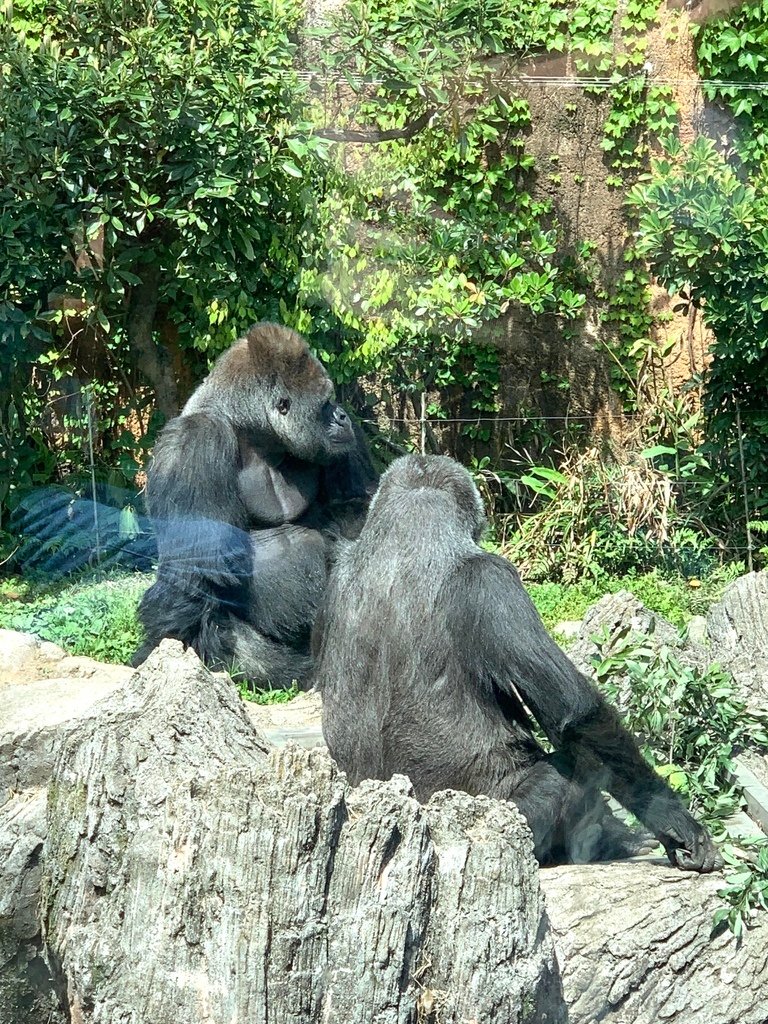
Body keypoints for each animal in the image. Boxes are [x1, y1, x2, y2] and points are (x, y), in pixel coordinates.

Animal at [136, 319, 382, 688]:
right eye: (325, 404)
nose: (341, 415)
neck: (253, 431)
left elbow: (358, 511)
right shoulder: (194, 440)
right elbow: (193, 570)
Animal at [313, 456, 720, 872]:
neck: (405, 541)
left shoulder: (332, 576)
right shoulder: (493, 579)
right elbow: (578, 715)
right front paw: (672, 818)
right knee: (568, 773)